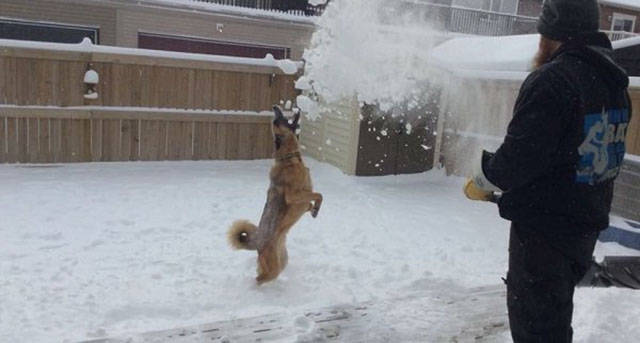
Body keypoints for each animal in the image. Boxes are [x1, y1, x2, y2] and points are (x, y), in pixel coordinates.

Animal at [228, 106, 322, 286]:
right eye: (278, 120)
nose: (275, 107)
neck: (289, 158)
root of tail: (257, 244)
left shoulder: (304, 196)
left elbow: (312, 199)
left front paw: (314, 210)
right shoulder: (293, 195)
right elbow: (319, 194)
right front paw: (316, 208)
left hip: (282, 260)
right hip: (273, 268)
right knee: (259, 279)